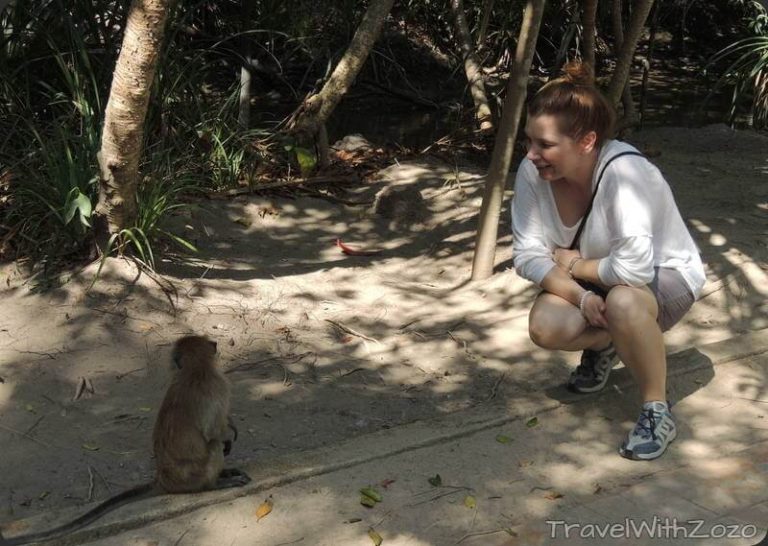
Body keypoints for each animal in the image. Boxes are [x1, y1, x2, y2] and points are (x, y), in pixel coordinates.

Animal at [0, 334, 249, 540]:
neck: (195, 369)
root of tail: (164, 480)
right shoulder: (217, 385)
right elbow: (212, 432)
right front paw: (228, 435)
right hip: (193, 475)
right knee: (214, 446)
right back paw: (213, 484)